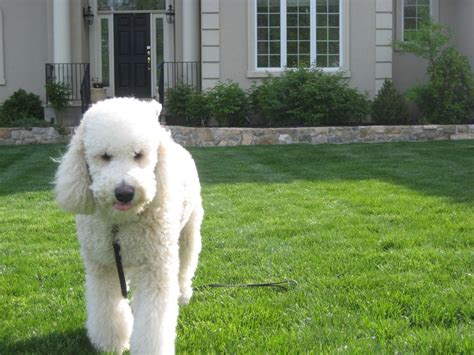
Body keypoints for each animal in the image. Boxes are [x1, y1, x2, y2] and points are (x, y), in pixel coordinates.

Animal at [54, 97, 203, 355]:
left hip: (188, 231)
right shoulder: (103, 267)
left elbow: (153, 322)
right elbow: (107, 307)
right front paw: (110, 343)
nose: (124, 192)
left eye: (138, 154)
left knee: (186, 266)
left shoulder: (156, 267)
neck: (120, 226)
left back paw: (183, 294)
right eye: (105, 156)